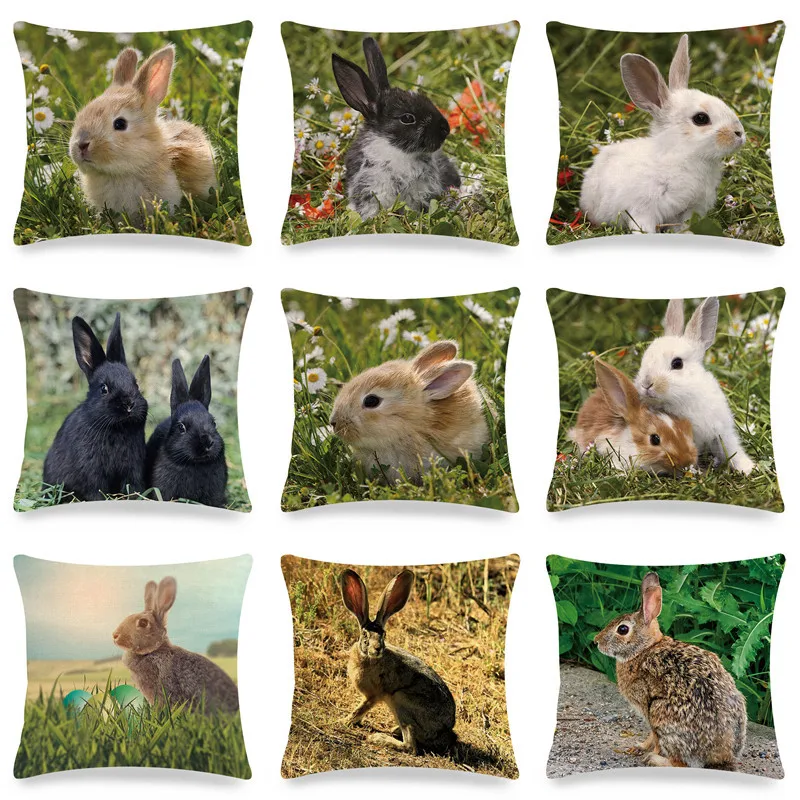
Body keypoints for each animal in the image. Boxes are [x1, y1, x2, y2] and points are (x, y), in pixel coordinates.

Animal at [42, 313, 148, 501]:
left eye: (136, 383)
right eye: (104, 388)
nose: (129, 404)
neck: (117, 429)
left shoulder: (133, 467)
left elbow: (133, 486)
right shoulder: (91, 471)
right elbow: (95, 490)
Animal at [340, 568, 456, 753]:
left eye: (384, 635)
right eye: (365, 635)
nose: (377, 649)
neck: (369, 658)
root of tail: (444, 733)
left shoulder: (374, 695)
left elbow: (361, 708)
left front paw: (344, 721)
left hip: (401, 700)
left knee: (410, 746)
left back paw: (379, 738)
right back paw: (393, 731)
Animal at [594, 572, 747, 770]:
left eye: (623, 629)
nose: (596, 641)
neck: (644, 650)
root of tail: (720, 754)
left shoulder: (646, 707)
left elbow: (654, 738)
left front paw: (646, 750)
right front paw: (639, 746)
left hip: (661, 713)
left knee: (679, 763)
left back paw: (654, 759)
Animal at [635, 297, 755, 474]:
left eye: (677, 363)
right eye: (644, 359)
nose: (646, 384)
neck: (685, 398)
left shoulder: (722, 429)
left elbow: (732, 448)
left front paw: (748, 468)